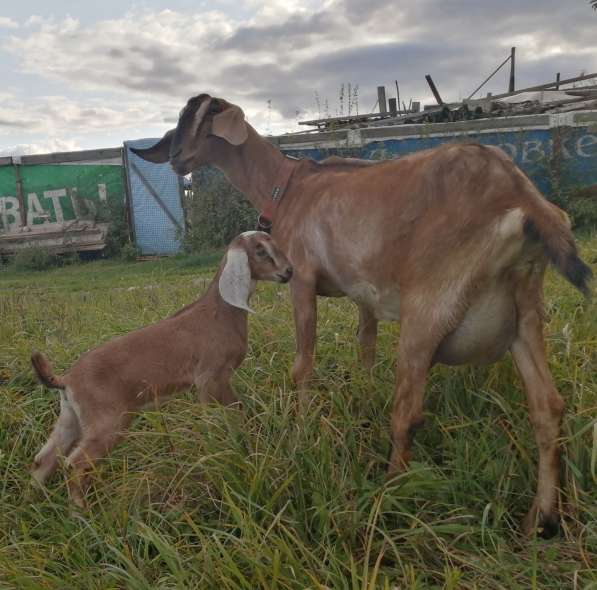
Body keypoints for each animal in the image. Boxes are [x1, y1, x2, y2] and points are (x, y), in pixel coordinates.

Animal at [132, 91, 592, 536]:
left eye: (204, 117)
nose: (176, 159)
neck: (288, 186)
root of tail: (520, 196)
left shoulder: (301, 279)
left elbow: (303, 364)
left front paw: (303, 429)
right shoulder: (363, 295)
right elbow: (365, 350)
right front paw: (362, 399)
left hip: (429, 309)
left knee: (408, 413)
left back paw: (386, 496)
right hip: (525, 311)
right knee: (548, 407)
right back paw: (541, 519)